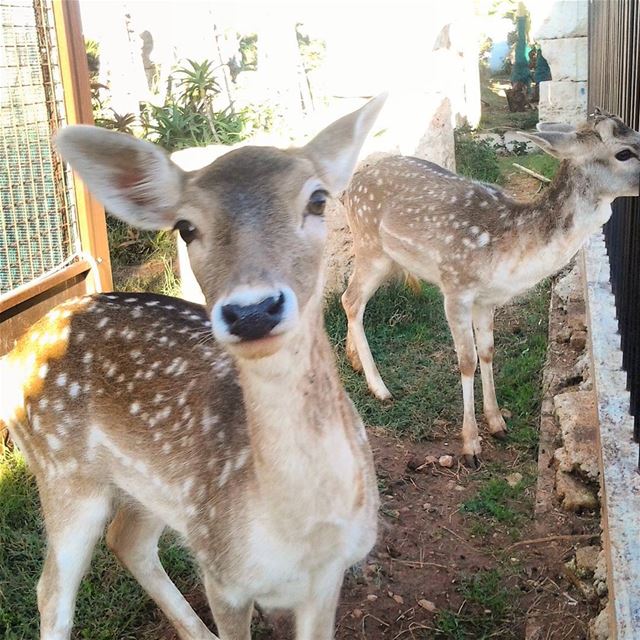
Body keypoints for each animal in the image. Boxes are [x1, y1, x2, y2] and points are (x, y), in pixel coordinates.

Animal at [0, 92, 388, 636]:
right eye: (185, 228)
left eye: (318, 200)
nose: (252, 310)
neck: (299, 535)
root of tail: (15, 352)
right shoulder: (222, 572)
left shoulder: (329, 576)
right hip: (63, 473)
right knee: (52, 591)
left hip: (156, 490)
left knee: (127, 540)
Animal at [342, 110, 640, 468]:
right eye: (623, 152)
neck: (508, 255)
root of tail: (349, 188)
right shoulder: (455, 287)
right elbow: (466, 359)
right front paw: (470, 445)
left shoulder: (487, 299)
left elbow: (487, 351)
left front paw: (497, 422)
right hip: (370, 246)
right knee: (350, 299)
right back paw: (380, 388)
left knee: (350, 297)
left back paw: (354, 361)